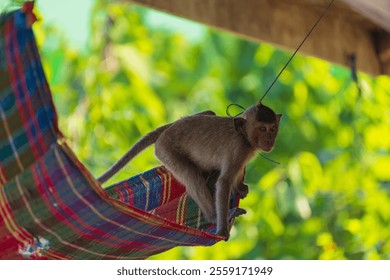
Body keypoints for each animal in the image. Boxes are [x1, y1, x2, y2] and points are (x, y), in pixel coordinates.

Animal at [97, 104, 280, 240]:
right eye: (262, 129)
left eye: (272, 128)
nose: (270, 140)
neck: (245, 137)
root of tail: (169, 129)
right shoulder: (239, 150)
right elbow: (224, 182)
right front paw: (222, 230)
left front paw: (239, 188)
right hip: (166, 151)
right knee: (192, 176)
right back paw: (213, 217)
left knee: (210, 113)